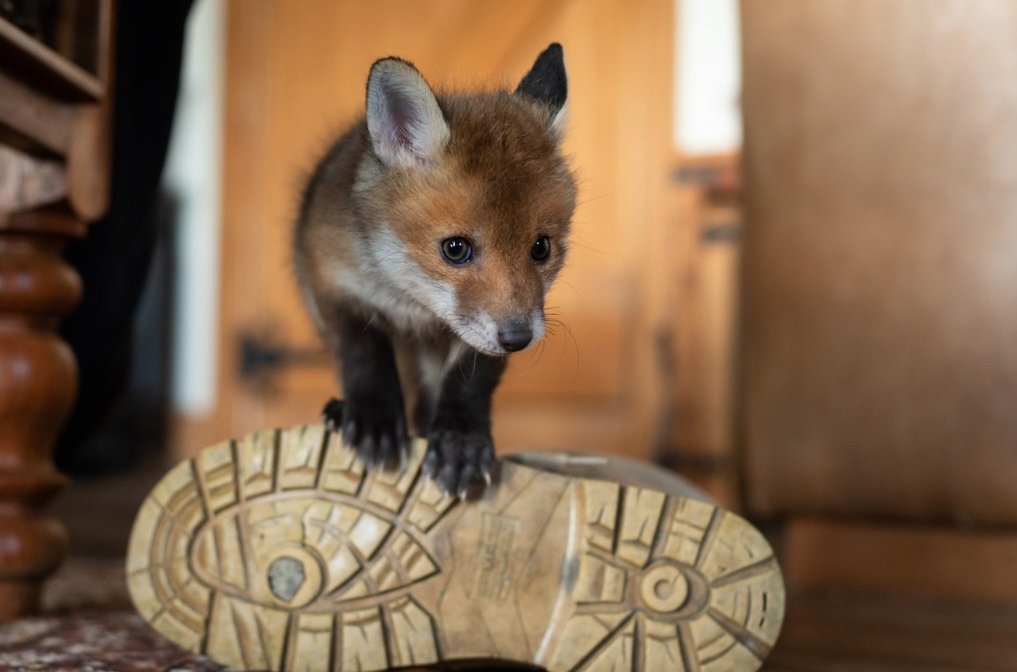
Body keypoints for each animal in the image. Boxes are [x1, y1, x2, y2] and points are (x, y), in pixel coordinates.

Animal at [293, 43, 577, 499]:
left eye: (541, 248)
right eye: (455, 249)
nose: (518, 338)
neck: (415, 305)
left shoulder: (483, 334)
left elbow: (469, 382)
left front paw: (461, 443)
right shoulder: (334, 280)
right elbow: (362, 353)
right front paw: (373, 417)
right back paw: (342, 411)